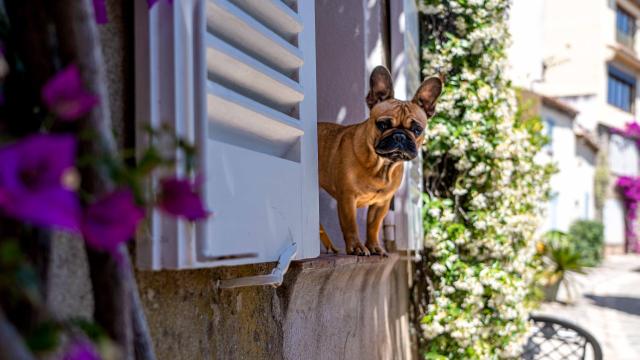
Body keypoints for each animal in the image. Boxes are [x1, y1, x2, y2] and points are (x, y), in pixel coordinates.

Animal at [316, 65, 444, 256]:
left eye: (417, 129)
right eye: (382, 125)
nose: (399, 136)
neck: (381, 165)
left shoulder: (381, 204)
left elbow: (373, 227)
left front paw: (374, 246)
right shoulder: (347, 199)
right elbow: (351, 226)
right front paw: (356, 247)